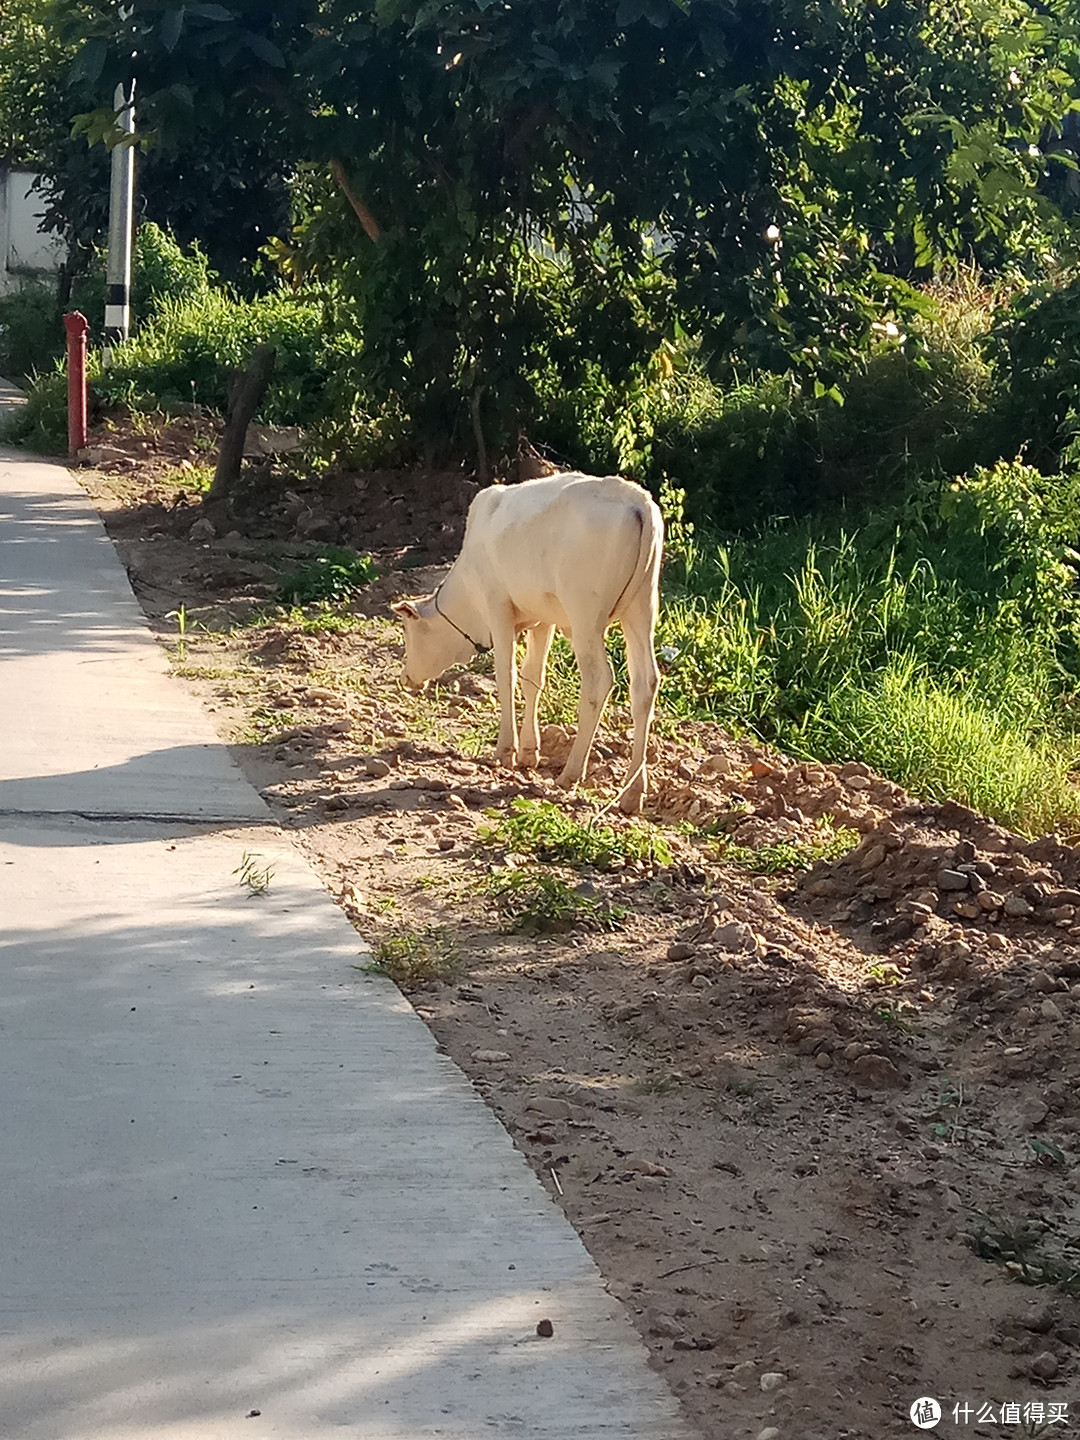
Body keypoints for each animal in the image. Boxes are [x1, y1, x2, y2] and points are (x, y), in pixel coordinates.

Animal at [394, 472, 665, 812]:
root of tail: (635, 499)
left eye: (408, 630)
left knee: (598, 682)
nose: (407, 678)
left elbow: (506, 674)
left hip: (586, 617)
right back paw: (633, 791)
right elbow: (532, 677)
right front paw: (528, 751)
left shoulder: (497, 606)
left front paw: (505, 750)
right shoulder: (543, 618)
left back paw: (571, 772)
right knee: (645, 684)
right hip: (642, 608)